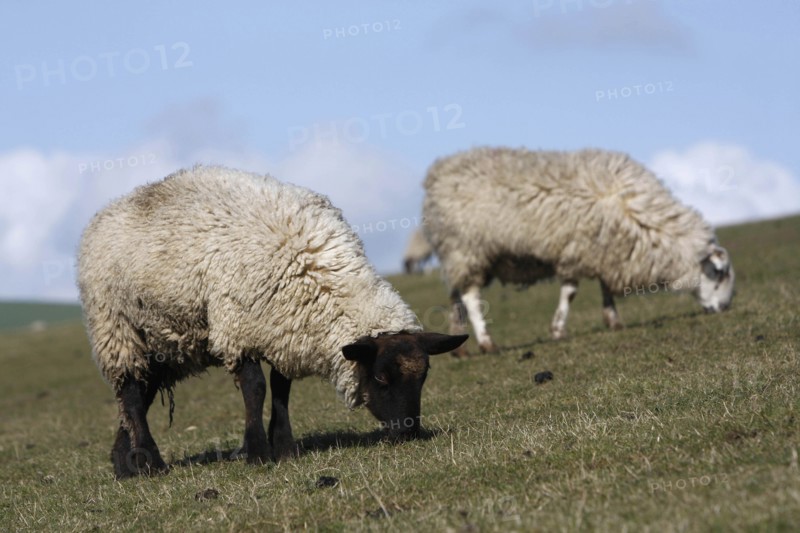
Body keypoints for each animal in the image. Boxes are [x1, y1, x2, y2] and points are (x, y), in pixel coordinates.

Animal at [78, 165, 467, 479]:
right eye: (381, 378)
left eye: (425, 376)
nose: (408, 432)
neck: (311, 266)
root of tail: (106, 211)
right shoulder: (239, 328)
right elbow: (256, 389)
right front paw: (257, 452)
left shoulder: (285, 329)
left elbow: (282, 388)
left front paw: (284, 446)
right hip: (118, 328)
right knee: (131, 393)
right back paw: (152, 464)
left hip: (161, 344)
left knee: (137, 396)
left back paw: (126, 465)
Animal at [422, 147, 734, 356]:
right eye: (718, 275)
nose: (725, 308)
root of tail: (437, 174)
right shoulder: (575, 250)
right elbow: (570, 292)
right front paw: (559, 330)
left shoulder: (605, 249)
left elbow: (605, 285)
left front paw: (613, 320)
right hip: (467, 247)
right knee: (471, 297)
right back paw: (488, 343)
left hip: (461, 255)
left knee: (456, 295)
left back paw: (459, 345)